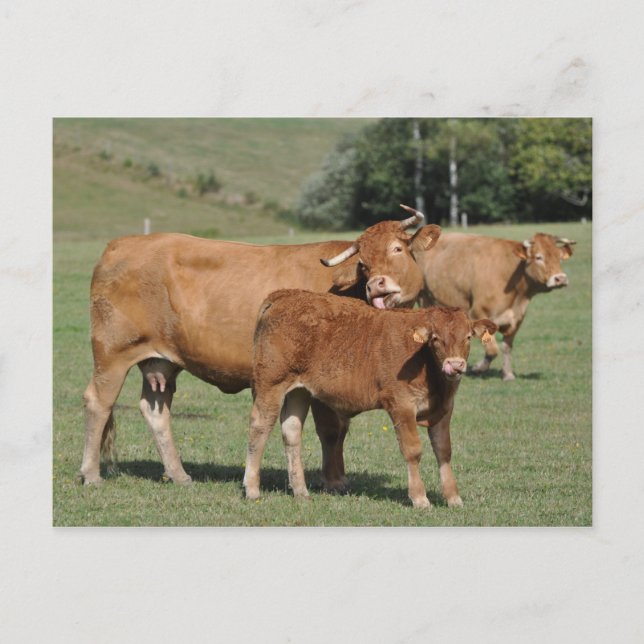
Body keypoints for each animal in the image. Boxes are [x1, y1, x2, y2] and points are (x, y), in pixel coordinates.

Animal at [80, 206, 442, 489]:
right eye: (363, 263)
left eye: (397, 249)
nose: (377, 286)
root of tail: (121, 244)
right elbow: (330, 429)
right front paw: (334, 480)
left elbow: (336, 429)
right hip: (111, 354)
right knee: (99, 402)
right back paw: (91, 473)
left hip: (161, 362)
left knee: (155, 410)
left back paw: (179, 474)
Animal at [243, 289, 496, 509]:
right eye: (435, 339)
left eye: (468, 337)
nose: (455, 365)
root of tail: (286, 294)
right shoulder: (401, 405)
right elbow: (413, 450)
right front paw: (420, 498)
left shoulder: (444, 409)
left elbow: (444, 450)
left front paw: (453, 497)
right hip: (271, 384)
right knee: (260, 428)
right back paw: (252, 488)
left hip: (299, 391)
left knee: (292, 432)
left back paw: (301, 491)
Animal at [414, 232, 575, 381]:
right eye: (539, 257)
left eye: (559, 257)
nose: (560, 278)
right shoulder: (479, 313)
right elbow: (493, 350)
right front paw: (478, 367)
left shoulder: (516, 319)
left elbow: (506, 347)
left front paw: (507, 373)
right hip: (423, 297)